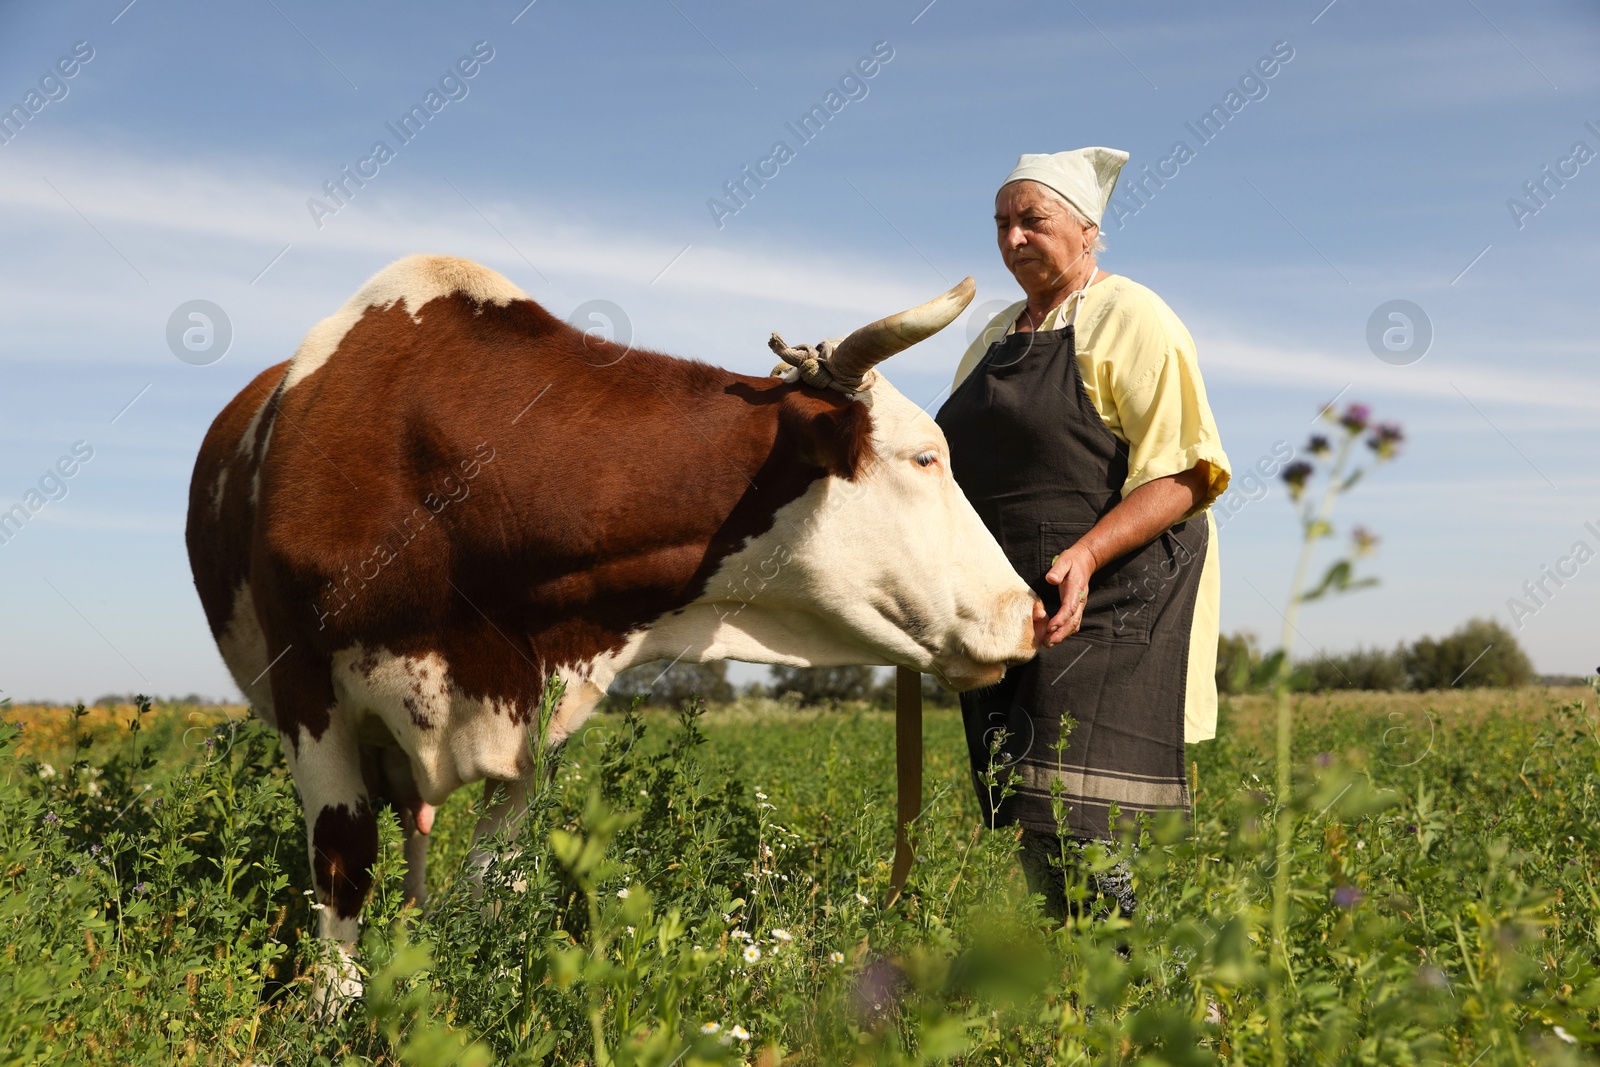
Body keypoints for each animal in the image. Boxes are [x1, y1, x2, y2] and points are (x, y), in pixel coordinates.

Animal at [187, 254, 1036, 998]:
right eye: (926, 458)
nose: (1029, 611)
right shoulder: (307, 688)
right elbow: (343, 861)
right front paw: (333, 1006)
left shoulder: (533, 715)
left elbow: (491, 884)